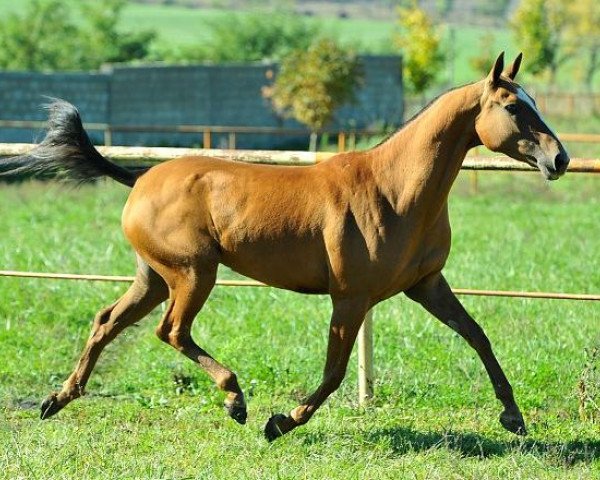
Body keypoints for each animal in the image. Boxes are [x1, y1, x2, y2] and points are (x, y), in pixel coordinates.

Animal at [1, 51, 568, 438]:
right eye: (513, 106)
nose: (558, 159)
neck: (394, 189)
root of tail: (138, 179)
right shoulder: (351, 298)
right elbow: (335, 372)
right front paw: (281, 421)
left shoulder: (426, 285)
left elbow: (477, 336)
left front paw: (513, 417)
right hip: (193, 274)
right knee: (171, 331)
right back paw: (236, 400)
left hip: (155, 278)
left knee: (107, 322)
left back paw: (57, 399)